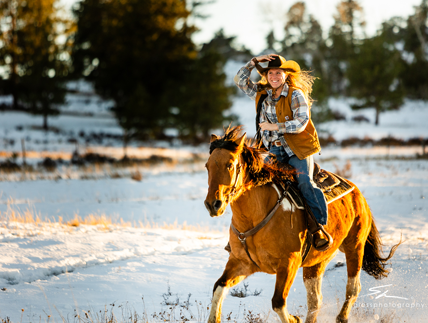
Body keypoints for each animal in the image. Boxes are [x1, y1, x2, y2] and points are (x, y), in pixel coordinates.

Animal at [204, 126, 398, 323]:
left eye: (230, 164)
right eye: (207, 166)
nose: (213, 204)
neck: (257, 216)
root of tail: (358, 194)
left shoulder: (289, 263)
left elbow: (278, 303)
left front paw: (293, 318)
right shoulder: (241, 263)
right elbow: (219, 287)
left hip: (355, 247)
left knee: (353, 288)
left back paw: (342, 317)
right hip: (316, 262)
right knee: (315, 299)